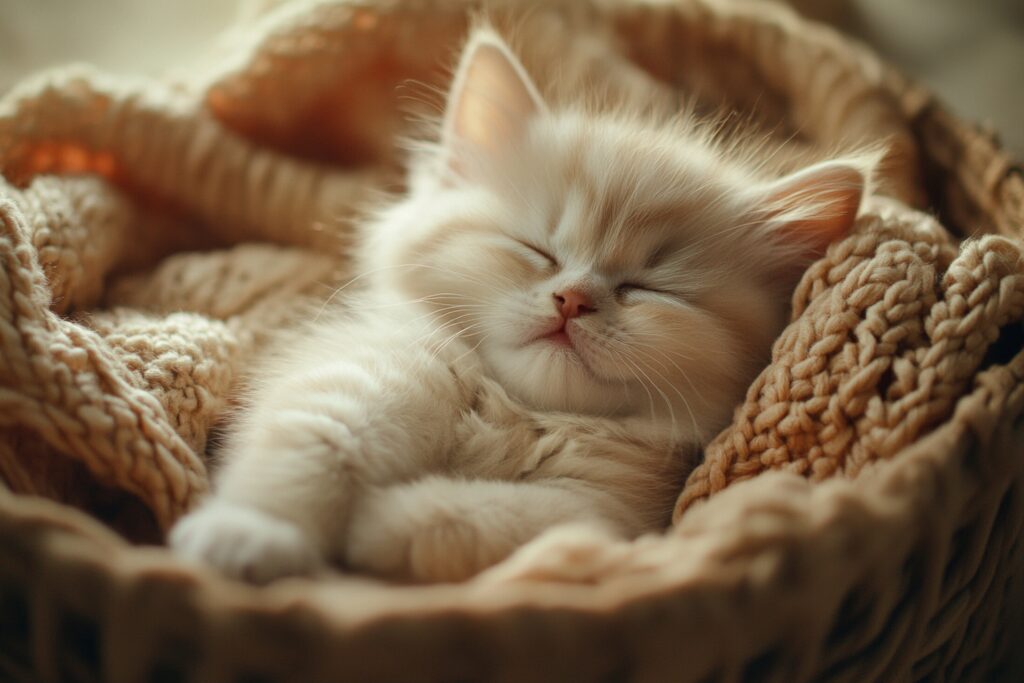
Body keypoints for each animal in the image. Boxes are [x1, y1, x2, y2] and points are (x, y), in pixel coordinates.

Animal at [167, 26, 872, 581]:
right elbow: (308, 450)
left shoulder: (605, 509)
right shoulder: (358, 381)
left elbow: (480, 515)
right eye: (539, 251)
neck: (517, 410)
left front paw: (378, 520)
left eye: (646, 288)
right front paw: (249, 532)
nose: (573, 300)